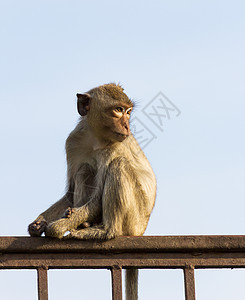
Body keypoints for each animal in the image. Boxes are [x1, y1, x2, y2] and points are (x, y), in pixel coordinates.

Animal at [27, 83, 157, 300]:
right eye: (118, 110)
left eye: (128, 112)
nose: (127, 126)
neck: (95, 138)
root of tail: (140, 232)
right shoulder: (73, 141)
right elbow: (70, 193)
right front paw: (38, 223)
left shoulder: (113, 147)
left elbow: (96, 200)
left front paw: (55, 228)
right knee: (84, 169)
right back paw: (85, 222)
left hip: (133, 219)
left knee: (118, 165)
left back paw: (103, 230)